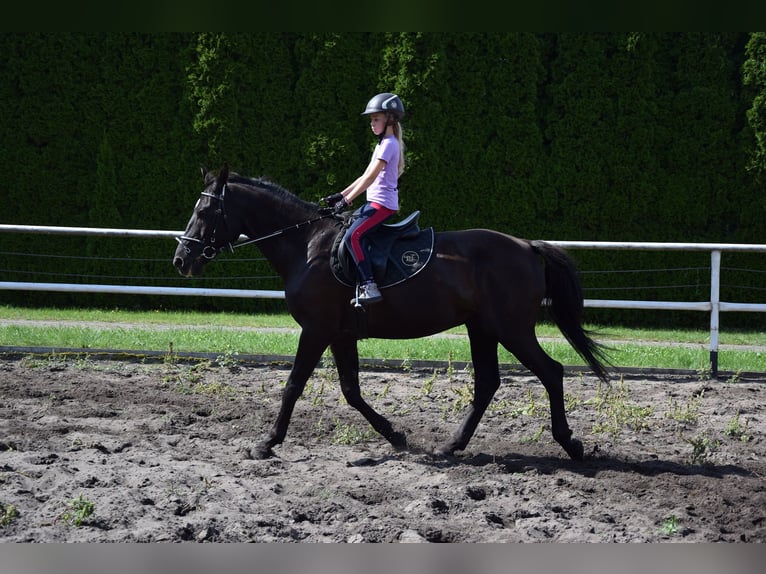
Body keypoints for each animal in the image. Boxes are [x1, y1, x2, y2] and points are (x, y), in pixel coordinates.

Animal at [173, 163, 611, 461]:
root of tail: (526, 246)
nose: (182, 259)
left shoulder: (315, 330)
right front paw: (396, 437)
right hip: (482, 328)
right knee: (487, 383)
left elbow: (293, 385)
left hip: (512, 329)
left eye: (205, 212)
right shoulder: (340, 334)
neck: (307, 244)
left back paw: (570, 443)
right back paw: (452, 445)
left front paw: (267, 443)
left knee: (551, 372)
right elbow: (351, 391)